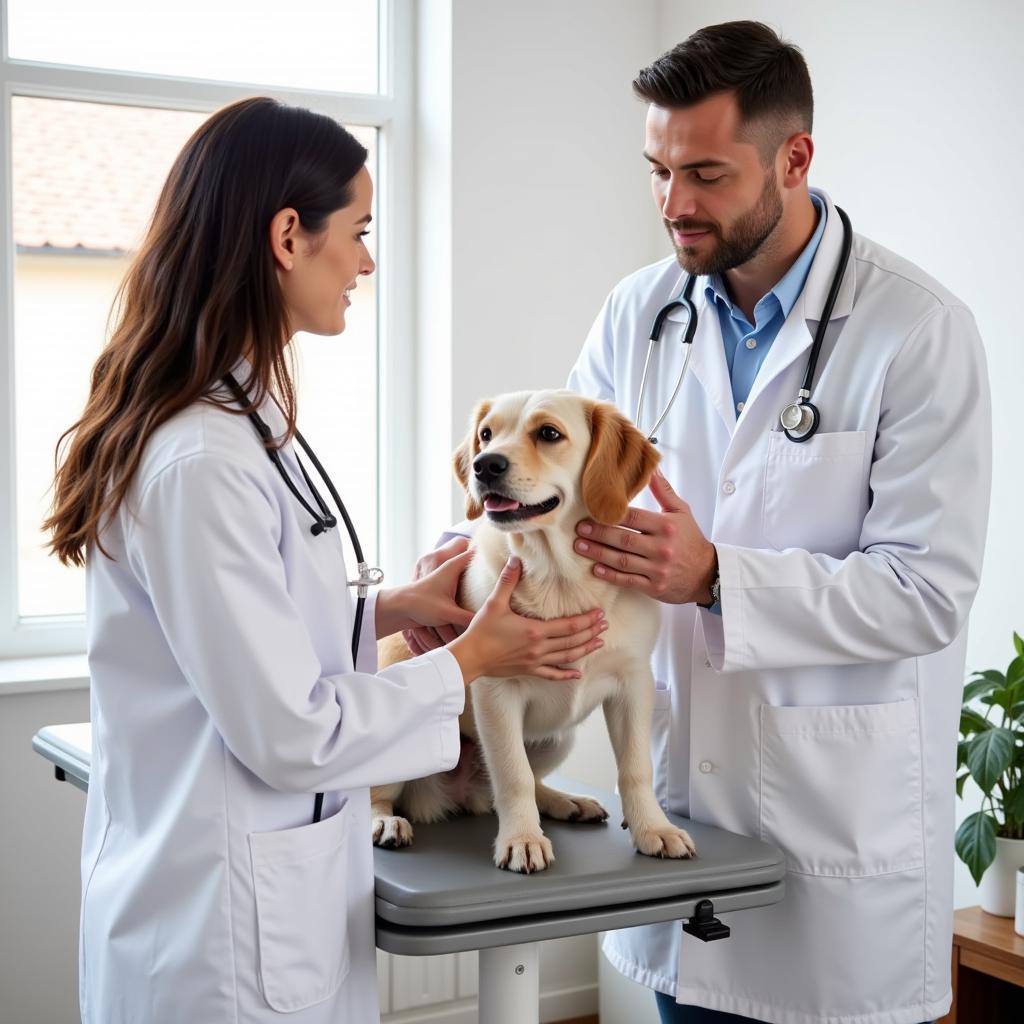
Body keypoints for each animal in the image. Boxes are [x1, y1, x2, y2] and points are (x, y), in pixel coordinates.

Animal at [368, 391, 696, 872]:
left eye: (548, 433)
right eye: (486, 434)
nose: (484, 465)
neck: (560, 579)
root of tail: (454, 797)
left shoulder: (633, 685)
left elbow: (636, 768)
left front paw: (653, 828)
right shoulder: (496, 693)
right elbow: (512, 774)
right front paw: (522, 839)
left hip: (559, 738)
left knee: (525, 784)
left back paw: (566, 801)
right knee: (377, 795)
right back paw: (385, 822)